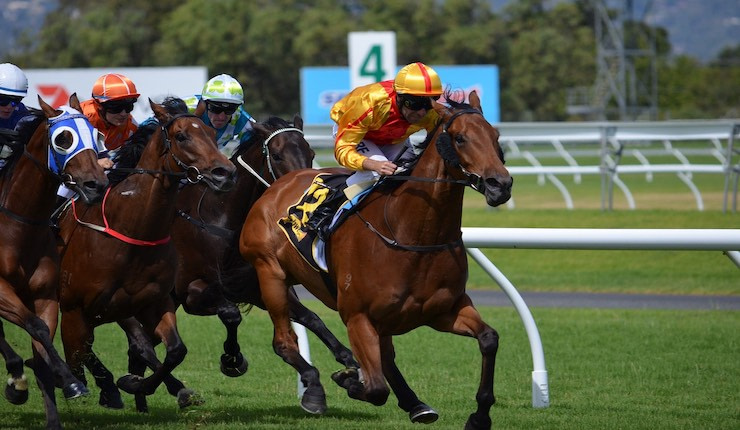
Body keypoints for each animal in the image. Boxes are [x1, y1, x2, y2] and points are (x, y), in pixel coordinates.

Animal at [0, 94, 109, 429]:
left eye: (97, 135)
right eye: (63, 139)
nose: (96, 185)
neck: (19, 227)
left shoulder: (45, 295)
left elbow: (43, 339)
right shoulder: (0, 290)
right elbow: (34, 327)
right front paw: (68, 380)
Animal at [55, 99, 236, 411]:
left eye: (213, 136)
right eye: (181, 136)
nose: (224, 173)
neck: (132, 230)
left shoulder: (154, 303)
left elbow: (174, 350)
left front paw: (136, 384)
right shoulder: (76, 309)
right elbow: (81, 353)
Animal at [239, 91, 512, 429]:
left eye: (495, 136)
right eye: (460, 138)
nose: (500, 184)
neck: (411, 234)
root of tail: (278, 184)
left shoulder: (445, 311)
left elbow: (489, 338)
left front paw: (479, 416)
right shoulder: (358, 317)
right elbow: (376, 388)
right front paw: (348, 379)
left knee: (386, 356)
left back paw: (415, 403)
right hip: (270, 273)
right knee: (284, 341)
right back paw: (316, 389)